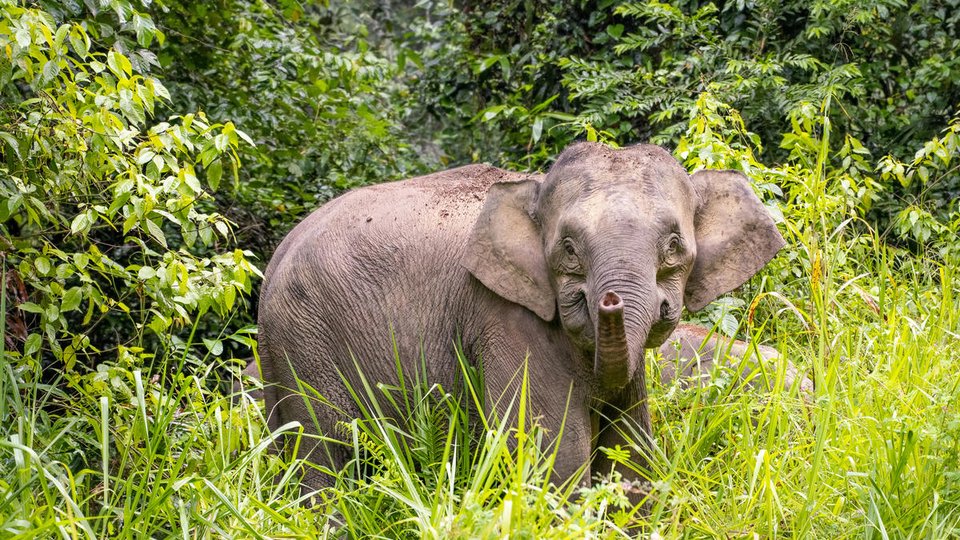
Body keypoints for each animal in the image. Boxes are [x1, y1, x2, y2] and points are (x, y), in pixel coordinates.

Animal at [254, 142, 785, 491]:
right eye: (568, 250)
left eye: (674, 246)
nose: (609, 301)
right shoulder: (506, 317)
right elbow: (554, 453)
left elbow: (630, 448)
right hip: (306, 343)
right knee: (324, 456)